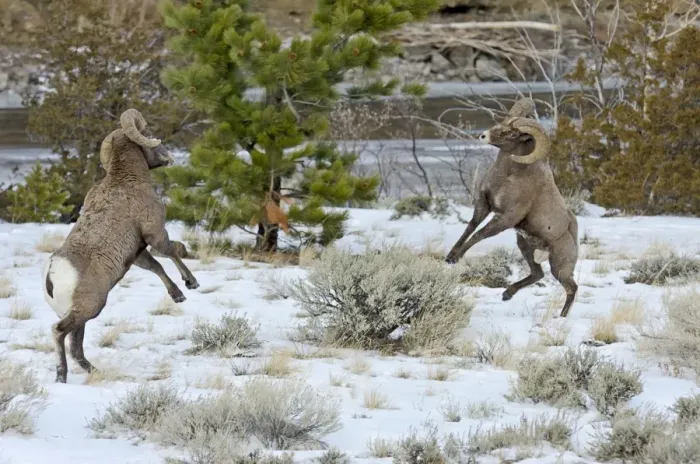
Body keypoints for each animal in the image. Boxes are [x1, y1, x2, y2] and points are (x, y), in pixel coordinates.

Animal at [42, 108, 200, 383]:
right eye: (148, 133)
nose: (169, 157)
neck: (125, 180)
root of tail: (53, 274)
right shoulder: (154, 233)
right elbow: (170, 253)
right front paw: (190, 283)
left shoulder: (137, 253)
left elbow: (156, 266)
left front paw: (177, 295)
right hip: (89, 308)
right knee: (59, 332)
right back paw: (62, 376)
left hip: (82, 315)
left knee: (76, 346)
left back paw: (96, 372)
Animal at [445, 98, 578, 318]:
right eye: (504, 121)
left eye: (513, 133)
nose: (483, 136)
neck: (507, 177)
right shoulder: (483, 205)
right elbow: (471, 227)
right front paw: (450, 256)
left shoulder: (506, 218)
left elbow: (480, 234)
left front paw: (457, 258)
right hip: (525, 246)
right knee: (537, 274)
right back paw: (507, 294)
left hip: (559, 266)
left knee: (571, 287)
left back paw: (561, 317)